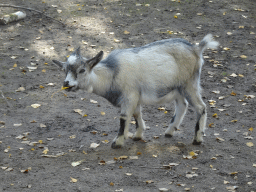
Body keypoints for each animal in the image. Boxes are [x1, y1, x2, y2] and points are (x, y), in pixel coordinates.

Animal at [52, 34, 218, 148]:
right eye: (64, 70)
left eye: (82, 70)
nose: (66, 83)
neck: (112, 72)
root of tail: (196, 48)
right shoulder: (135, 97)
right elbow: (137, 114)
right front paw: (137, 135)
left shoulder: (129, 96)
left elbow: (124, 117)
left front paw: (117, 142)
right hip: (178, 88)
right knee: (182, 105)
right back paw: (170, 131)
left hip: (189, 84)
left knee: (200, 107)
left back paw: (197, 139)